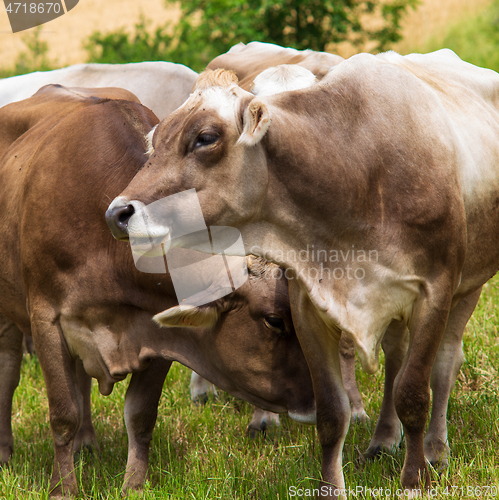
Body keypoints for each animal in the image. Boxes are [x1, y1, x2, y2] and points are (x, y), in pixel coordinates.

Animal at [0, 85, 316, 496]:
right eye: (275, 321)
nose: (319, 399)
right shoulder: (46, 319)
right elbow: (63, 412)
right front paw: (63, 489)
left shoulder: (159, 330)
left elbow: (140, 415)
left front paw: (133, 486)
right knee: (8, 371)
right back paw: (5, 451)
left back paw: (88, 444)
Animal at [106, 49, 499, 496]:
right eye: (155, 141)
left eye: (205, 138)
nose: (118, 213)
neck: (356, 172)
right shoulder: (309, 305)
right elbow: (331, 413)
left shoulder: (434, 292)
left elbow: (414, 394)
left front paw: (414, 481)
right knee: (395, 357)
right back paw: (384, 438)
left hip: (467, 288)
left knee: (444, 366)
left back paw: (434, 449)